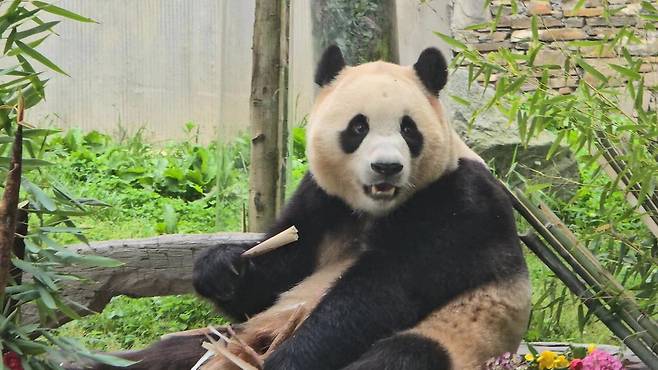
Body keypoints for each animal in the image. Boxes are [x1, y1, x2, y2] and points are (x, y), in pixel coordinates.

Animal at [79, 45, 528, 370]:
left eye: (408, 129)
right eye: (359, 127)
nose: (387, 167)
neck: (374, 209)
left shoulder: (459, 206)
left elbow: (379, 294)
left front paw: (289, 361)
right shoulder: (322, 201)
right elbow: (281, 269)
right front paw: (220, 268)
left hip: (458, 337)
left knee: (404, 355)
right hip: (227, 337)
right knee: (165, 354)